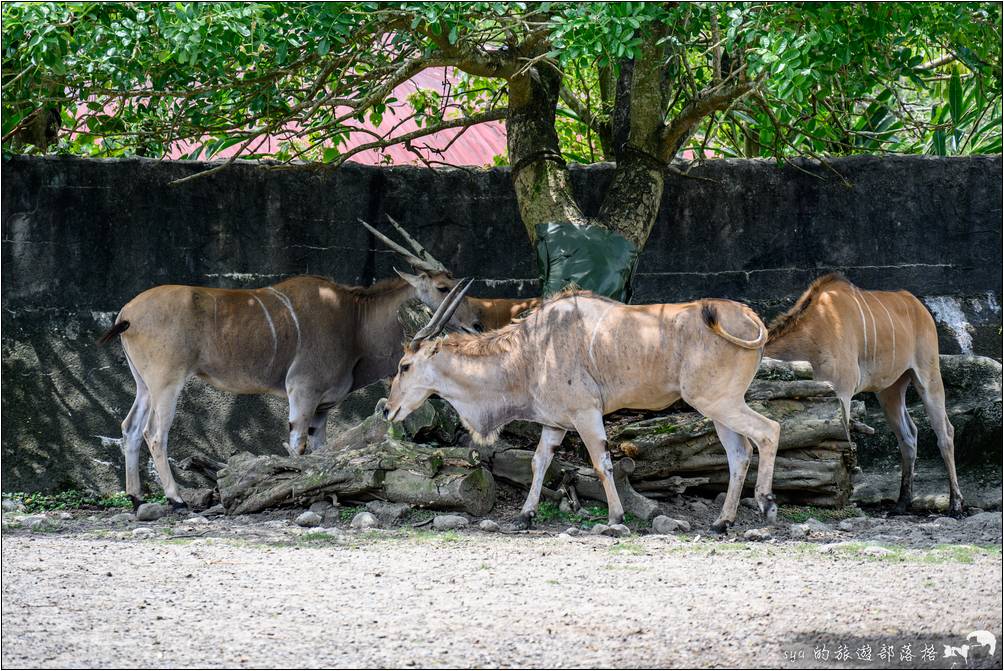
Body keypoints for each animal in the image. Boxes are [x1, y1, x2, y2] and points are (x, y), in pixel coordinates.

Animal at [96, 235, 481, 508]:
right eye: (444, 288)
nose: (477, 324)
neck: (354, 319)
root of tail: (126, 314)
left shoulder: (323, 406)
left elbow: (323, 452)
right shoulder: (302, 392)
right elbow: (297, 448)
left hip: (144, 384)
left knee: (130, 428)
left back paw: (136, 498)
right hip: (166, 382)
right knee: (154, 433)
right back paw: (175, 499)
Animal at [379, 285, 779, 530]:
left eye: (404, 366)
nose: (387, 409)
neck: (530, 349)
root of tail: (750, 317)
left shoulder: (586, 414)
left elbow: (602, 462)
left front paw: (616, 517)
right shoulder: (556, 423)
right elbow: (539, 462)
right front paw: (525, 515)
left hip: (718, 402)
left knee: (768, 431)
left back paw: (766, 502)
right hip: (716, 407)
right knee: (739, 453)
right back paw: (722, 522)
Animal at [767, 275, 963, 518]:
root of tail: (918, 305)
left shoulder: (843, 392)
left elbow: (845, 443)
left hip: (928, 376)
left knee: (945, 432)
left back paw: (955, 504)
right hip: (889, 389)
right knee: (908, 435)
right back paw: (901, 504)